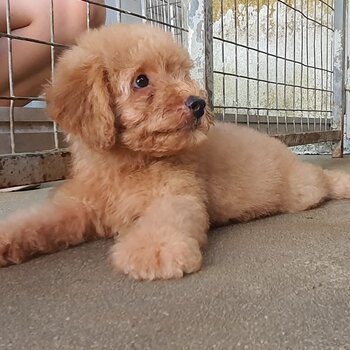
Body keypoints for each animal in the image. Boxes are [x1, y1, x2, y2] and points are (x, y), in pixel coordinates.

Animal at [0, 23, 350, 282]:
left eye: (179, 73)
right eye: (141, 81)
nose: (199, 103)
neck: (127, 164)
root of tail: (285, 152)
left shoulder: (176, 196)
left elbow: (165, 219)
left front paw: (153, 251)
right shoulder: (78, 206)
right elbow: (39, 221)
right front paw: (7, 238)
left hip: (301, 190)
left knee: (322, 179)